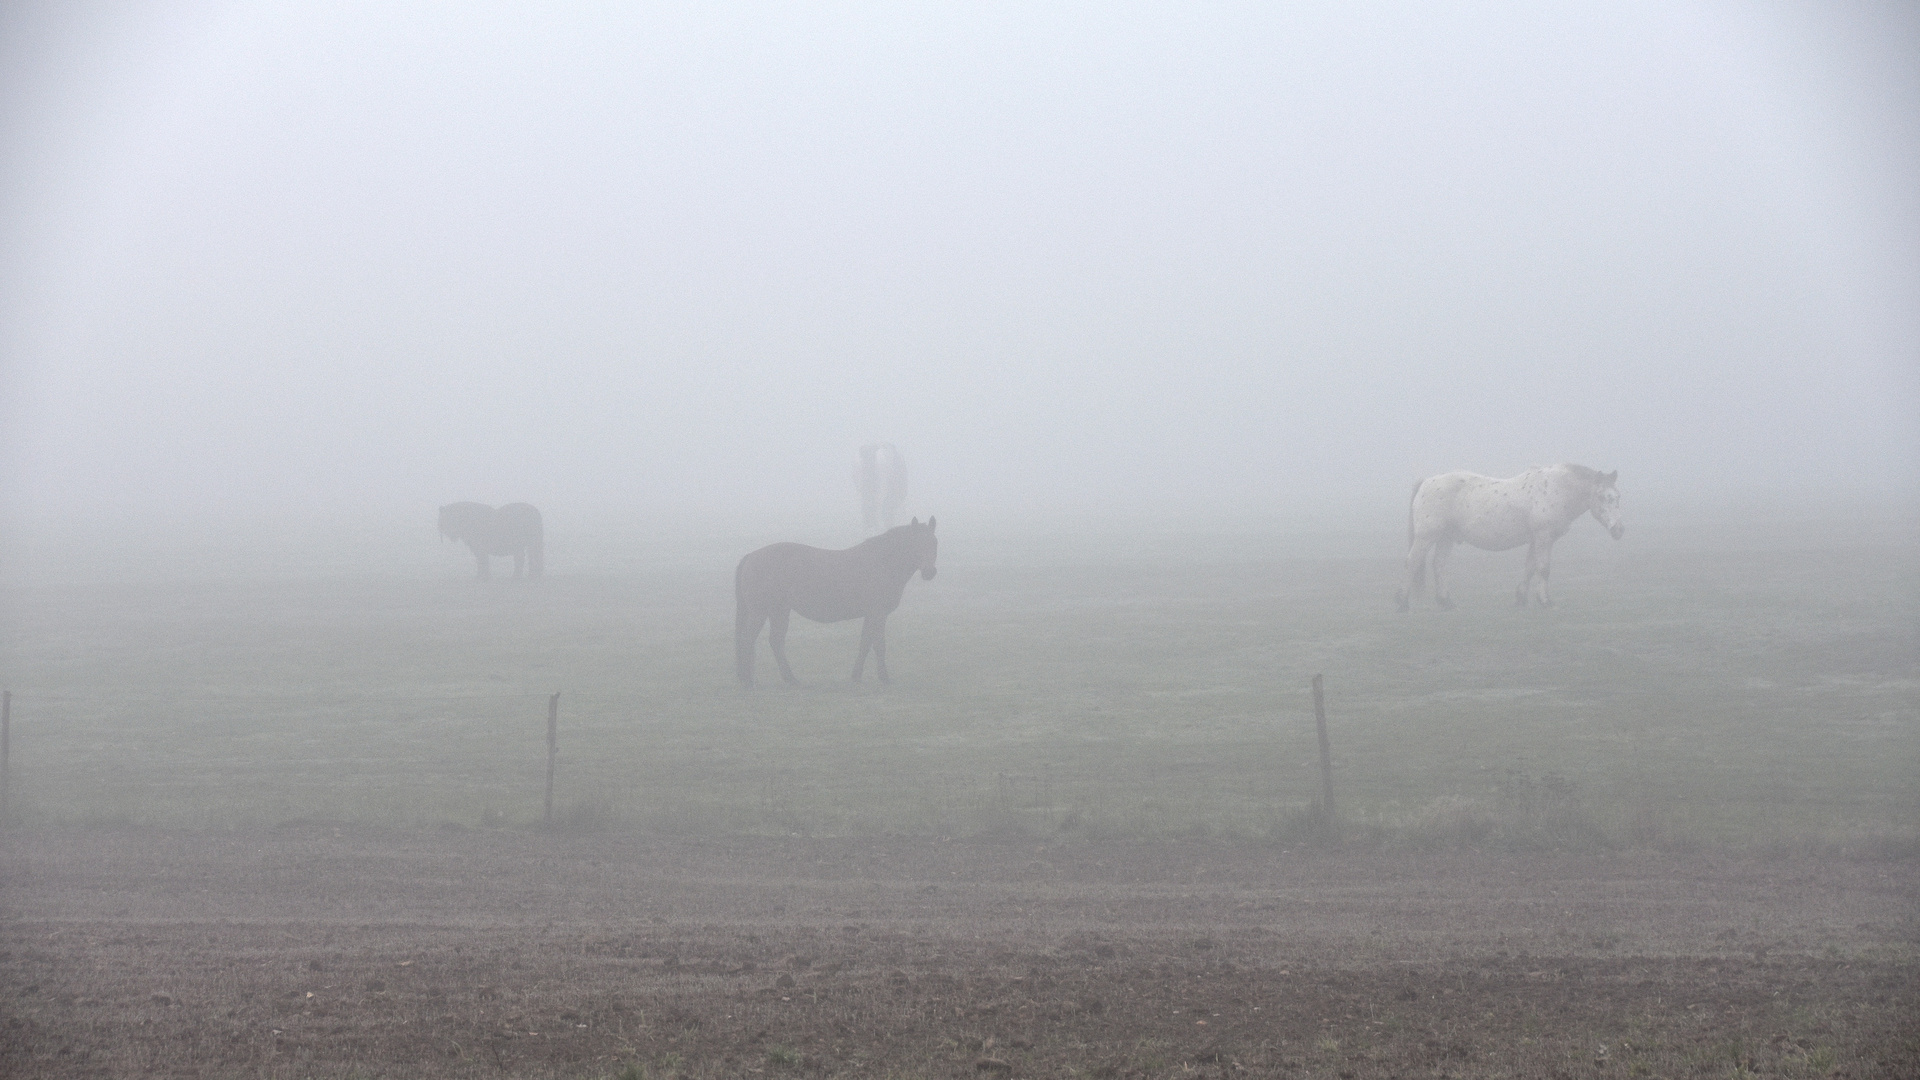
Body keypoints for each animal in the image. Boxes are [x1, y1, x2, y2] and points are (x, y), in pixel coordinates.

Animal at [733, 518, 936, 684]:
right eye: (916, 544)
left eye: (934, 543)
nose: (930, 572)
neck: (884, 562)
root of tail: (751, 556)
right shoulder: (878, 614)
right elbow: (879, 645)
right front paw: (884, 677)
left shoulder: (871, 615)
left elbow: (865, 643)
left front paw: (856, 676)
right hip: (760, 612)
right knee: (748, 640)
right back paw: (748, 680)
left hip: (779, 611)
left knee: (775, 641)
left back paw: (789, 678)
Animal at [1397, 461, 1620, 607]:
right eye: (1602, 496)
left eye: (1618, 496)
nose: (1619, 530)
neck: (1556, 489)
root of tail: (1427, 482)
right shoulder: (1543, 537)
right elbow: (1543, 569)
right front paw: (1545, 601)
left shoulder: (1535, 539)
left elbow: (1530, 568)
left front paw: (1522, 598)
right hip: (1426, 537)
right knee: (1412, 562)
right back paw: (1403, 602)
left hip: (1446, 537)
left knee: (1439, 565)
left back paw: (1445, 602)